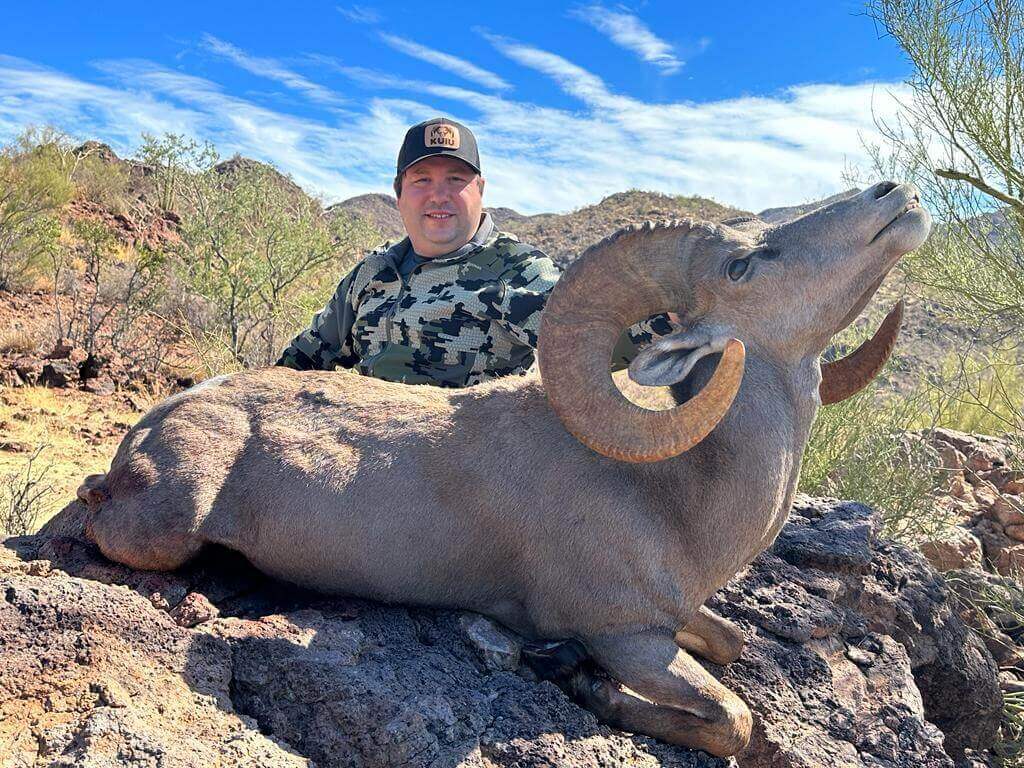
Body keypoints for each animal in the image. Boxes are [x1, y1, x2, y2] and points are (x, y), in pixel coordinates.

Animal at [77, 181, 930, 757]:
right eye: (745, 266)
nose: (896, 195)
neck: (674, 498)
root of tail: (163, 417)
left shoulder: (677, 618)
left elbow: (734, 645)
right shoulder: (626, 636)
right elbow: (734, 718)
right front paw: (582, 683)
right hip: (163, 526)